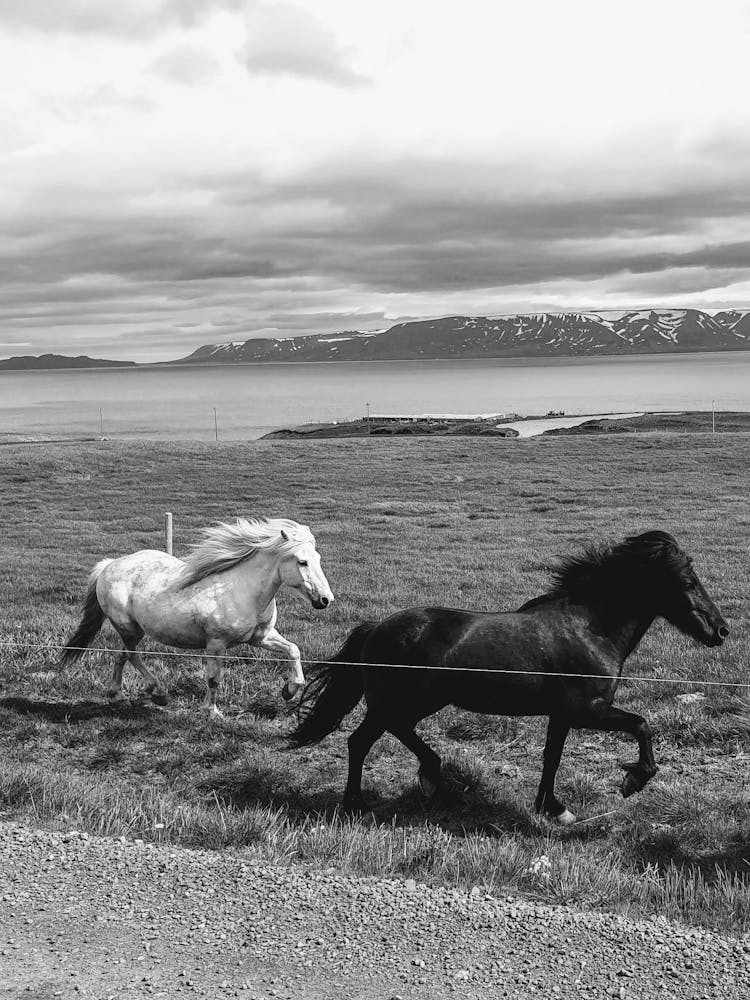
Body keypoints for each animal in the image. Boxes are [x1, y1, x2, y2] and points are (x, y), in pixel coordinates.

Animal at [60, 520, 336, 716]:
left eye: (318, 559)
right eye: (302, 562)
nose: (325, 600)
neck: (242, 590)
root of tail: (109, 565)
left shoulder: (261, 637)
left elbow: (293, 650)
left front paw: (289, 690)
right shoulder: (216, 643)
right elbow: (213, 679)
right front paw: (212, 712)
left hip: (133, 630)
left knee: (122, 656)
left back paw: (117, 695)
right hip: (127, 626)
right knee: (132, 655)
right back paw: (159, 693)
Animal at [292, 532, 728, 820]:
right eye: (688, 582)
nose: (721, 631)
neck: (590, 630)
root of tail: (376, 628)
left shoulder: (563, 714)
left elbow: (552, 757)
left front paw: (552, 808)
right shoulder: (589, 709)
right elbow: (641, 725)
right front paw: (634, 780)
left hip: (415, 703)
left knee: (389, 734)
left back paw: (431, 777)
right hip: (398, 703)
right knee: (360, 742)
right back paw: (360, 802)